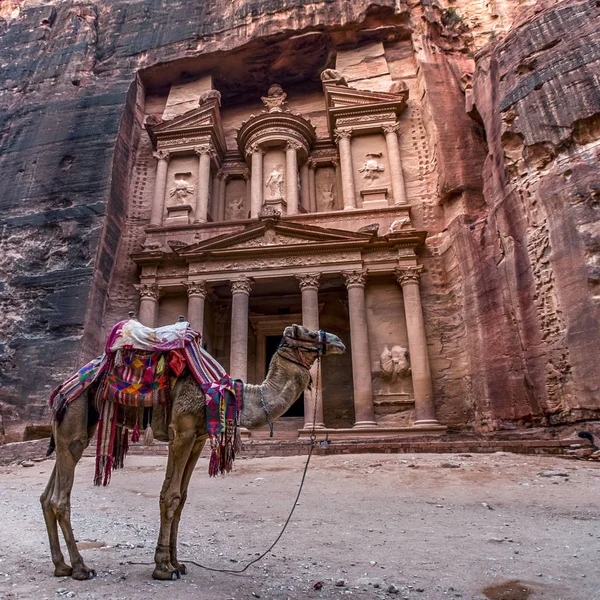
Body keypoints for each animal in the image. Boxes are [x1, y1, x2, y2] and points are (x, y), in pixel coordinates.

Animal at [41, 326, 342, 580]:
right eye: (308, 333)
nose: (338, 341)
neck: (226, 394)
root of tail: (61, 389)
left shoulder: (198, 439)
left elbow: (182, 499)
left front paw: (178, 563)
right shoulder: (182, 432)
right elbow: (170, 496)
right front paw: (163, 568)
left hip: (77, 425)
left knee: (47, 495)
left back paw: (60, 566)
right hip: (76, 412)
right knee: (60, 497)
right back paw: (80, 567)